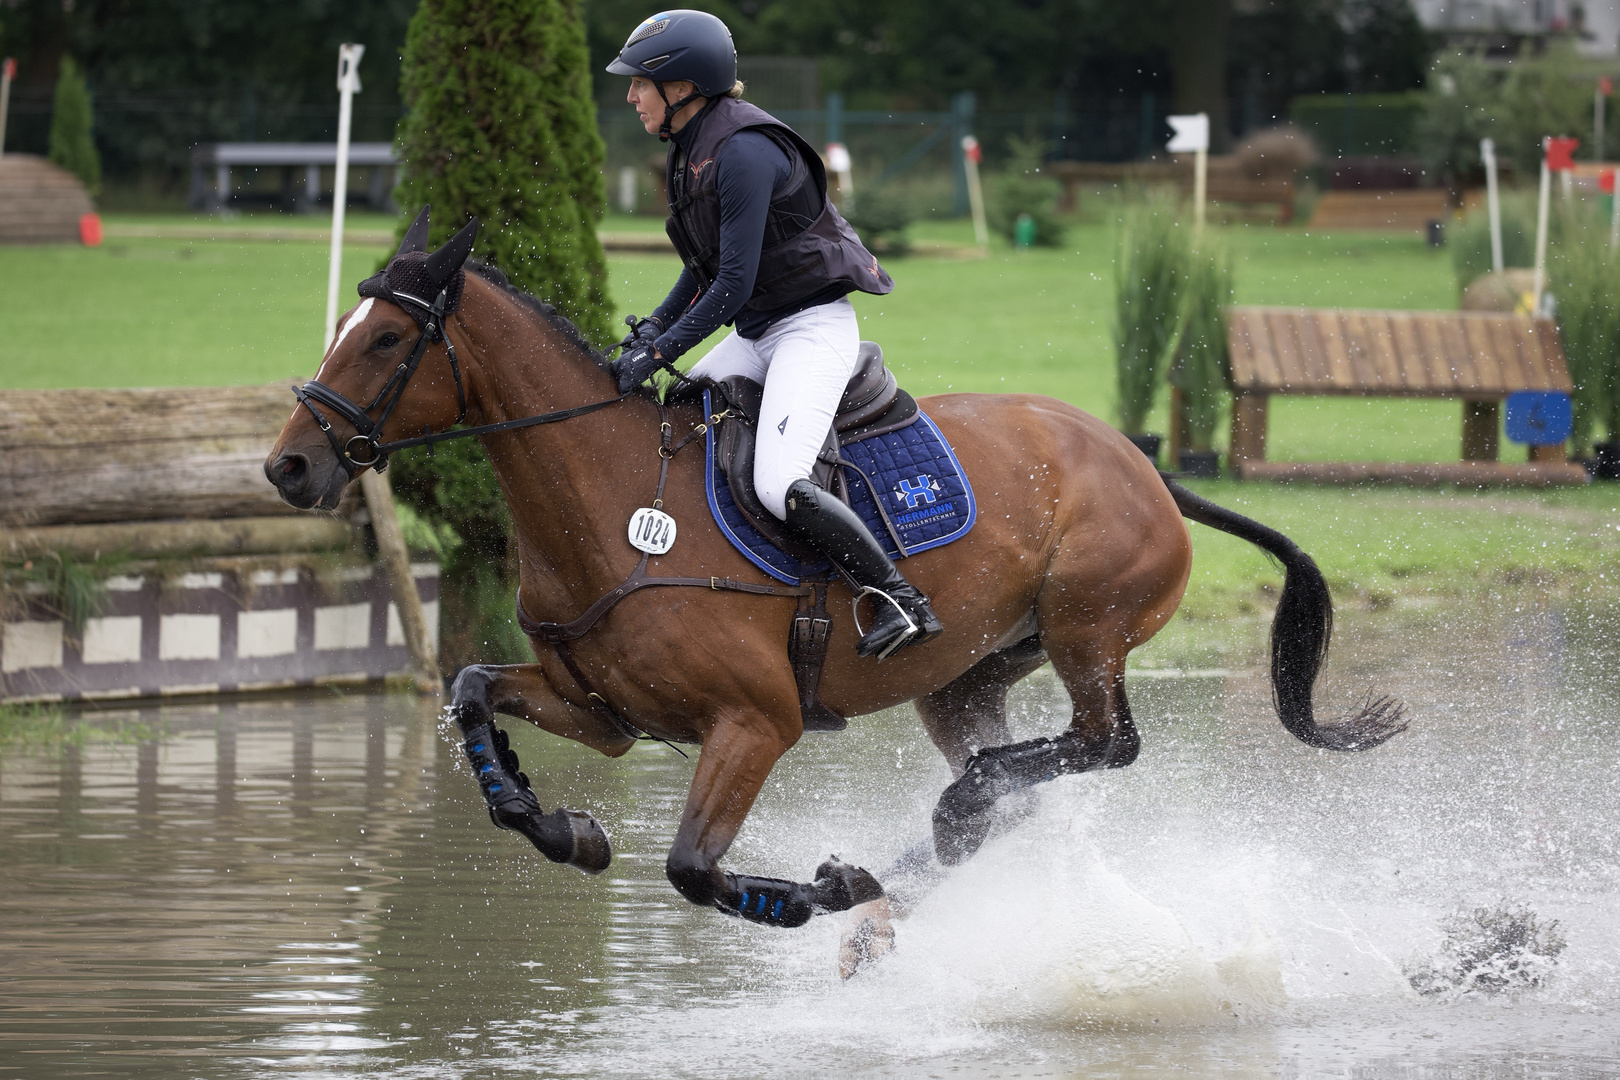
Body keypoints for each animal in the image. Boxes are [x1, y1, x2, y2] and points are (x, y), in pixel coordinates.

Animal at [265, 207, 1406, 939]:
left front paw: (815, 893)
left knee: (1102, 744)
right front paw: (563, 828)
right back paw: (930, 846)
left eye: (389, 339)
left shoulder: (755, 722)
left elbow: (692, 867)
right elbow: (469, 690)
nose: (289, 466)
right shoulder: (601, 712)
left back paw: (925, 835)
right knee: (1016, 788)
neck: (612, 505)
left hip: (1090, 630)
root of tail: (1145, 462)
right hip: (969, 677)